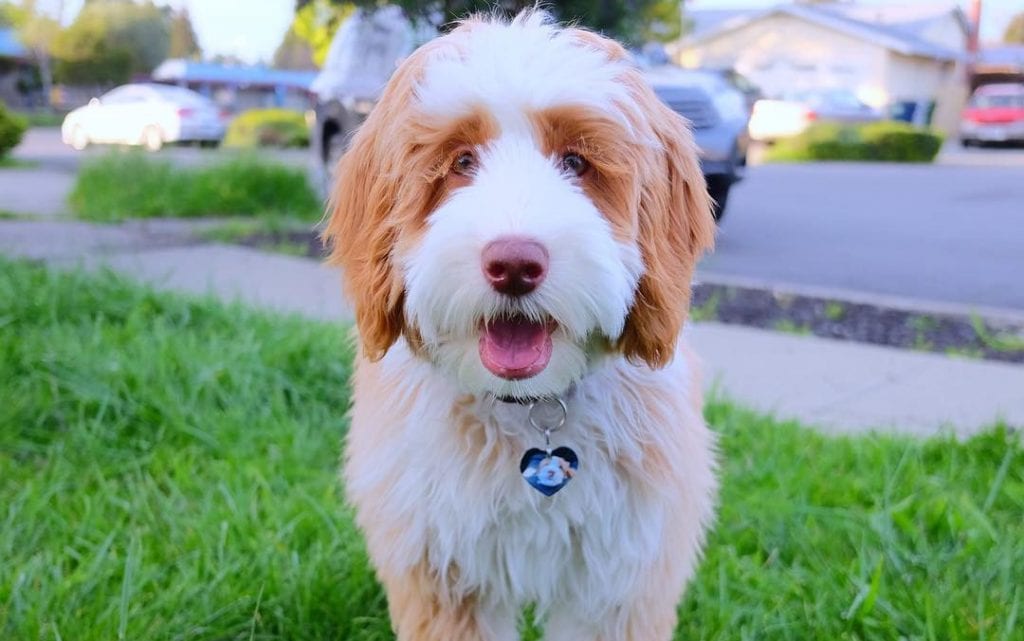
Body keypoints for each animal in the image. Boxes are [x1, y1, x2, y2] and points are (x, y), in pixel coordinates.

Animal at [323, 11, 716, 638]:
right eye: (461, 161)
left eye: (576, 162)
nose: (513, 264)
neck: (531, 409)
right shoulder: (441, 569)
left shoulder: (619, 580)